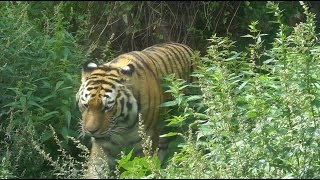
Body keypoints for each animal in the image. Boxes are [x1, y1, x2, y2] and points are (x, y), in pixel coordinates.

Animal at [76, 41, 194, 177]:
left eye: (107, 108)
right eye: (86, 105)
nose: (91, 131)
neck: (122, 127)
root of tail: (184, 46)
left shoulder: (146, 143)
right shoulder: (102, 147)